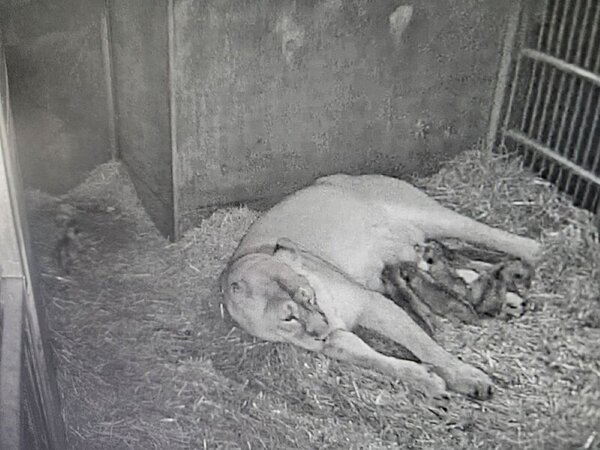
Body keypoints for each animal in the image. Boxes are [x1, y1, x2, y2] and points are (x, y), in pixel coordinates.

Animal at [220, 174, 542, 402]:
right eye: (288, 317)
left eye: (306, 295)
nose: (322, 328)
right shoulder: (336, 341)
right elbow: (377, 360)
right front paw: (426, 380)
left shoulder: (374, 304)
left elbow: (425, 346)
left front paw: (468, 377)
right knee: (462, 259)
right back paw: (508, 298)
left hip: (429, 214)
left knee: (484, 233)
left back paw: (534, 250)